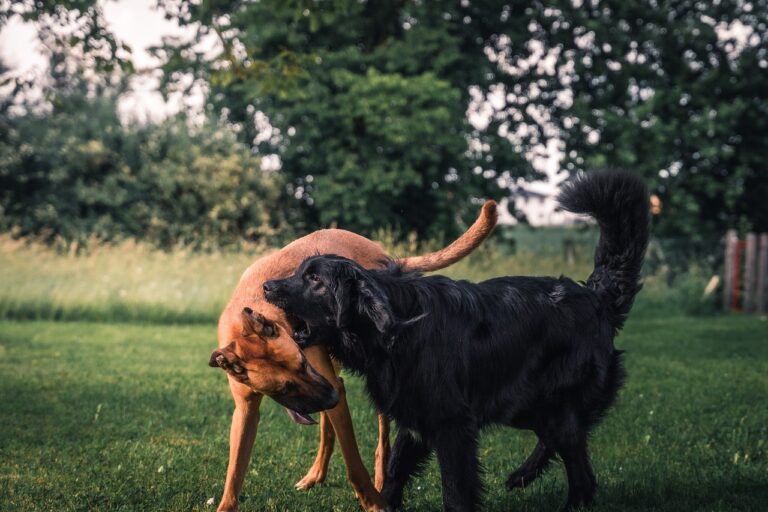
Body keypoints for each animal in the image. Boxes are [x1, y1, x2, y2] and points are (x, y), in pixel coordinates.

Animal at [210, 202, 498, 510]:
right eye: (284, 388)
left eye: (302, 364)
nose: (332, 397)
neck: (254, 309)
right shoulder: (246, 410)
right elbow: (235, 472)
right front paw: (226, 504)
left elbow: (353, 462)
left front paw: (373, 501)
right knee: (329, 426)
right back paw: (316, 475)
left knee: (381, 440)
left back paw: (380, 478)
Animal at [262, 172, 648, 512]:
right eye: (300, 272)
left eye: (315, 280)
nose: (268, 286)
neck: (397, 331)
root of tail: (596, 296)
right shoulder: (415, 421)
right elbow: (395, 471)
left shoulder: (452, 426)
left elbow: (456, 491)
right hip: (525, 405)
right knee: (562, 449)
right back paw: (522, 477)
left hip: (555, 405)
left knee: (579, 472)